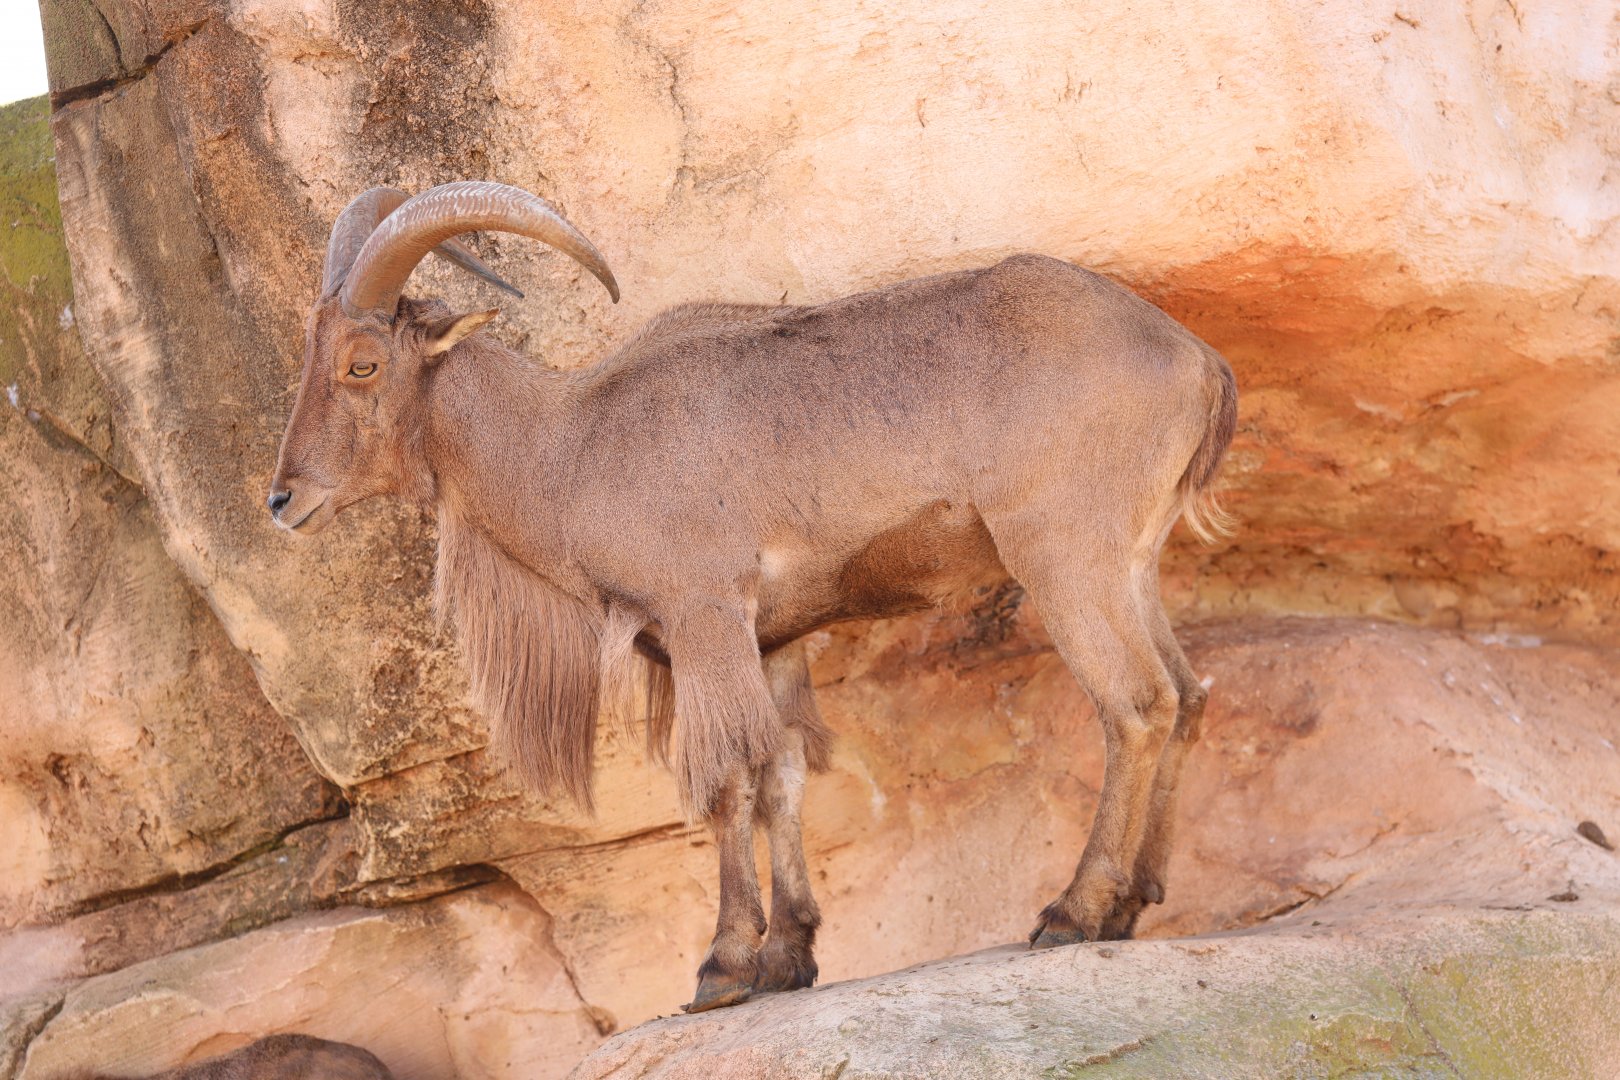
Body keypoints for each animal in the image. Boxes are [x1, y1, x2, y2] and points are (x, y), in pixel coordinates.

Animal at [268, 180, 1237, 1012]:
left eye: (362, 364)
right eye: (311, 356)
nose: (282, 499)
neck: (569, 446)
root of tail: (1195, 359)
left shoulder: (703, 616)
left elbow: (728, 778)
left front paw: (724, 966)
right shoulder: (771, 641)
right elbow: (782, 777)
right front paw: (789, 957)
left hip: (1066, 557)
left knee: (1137, 704)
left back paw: (1076, 910)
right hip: (1130, 564)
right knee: (1188, 695)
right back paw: (1133, 902)